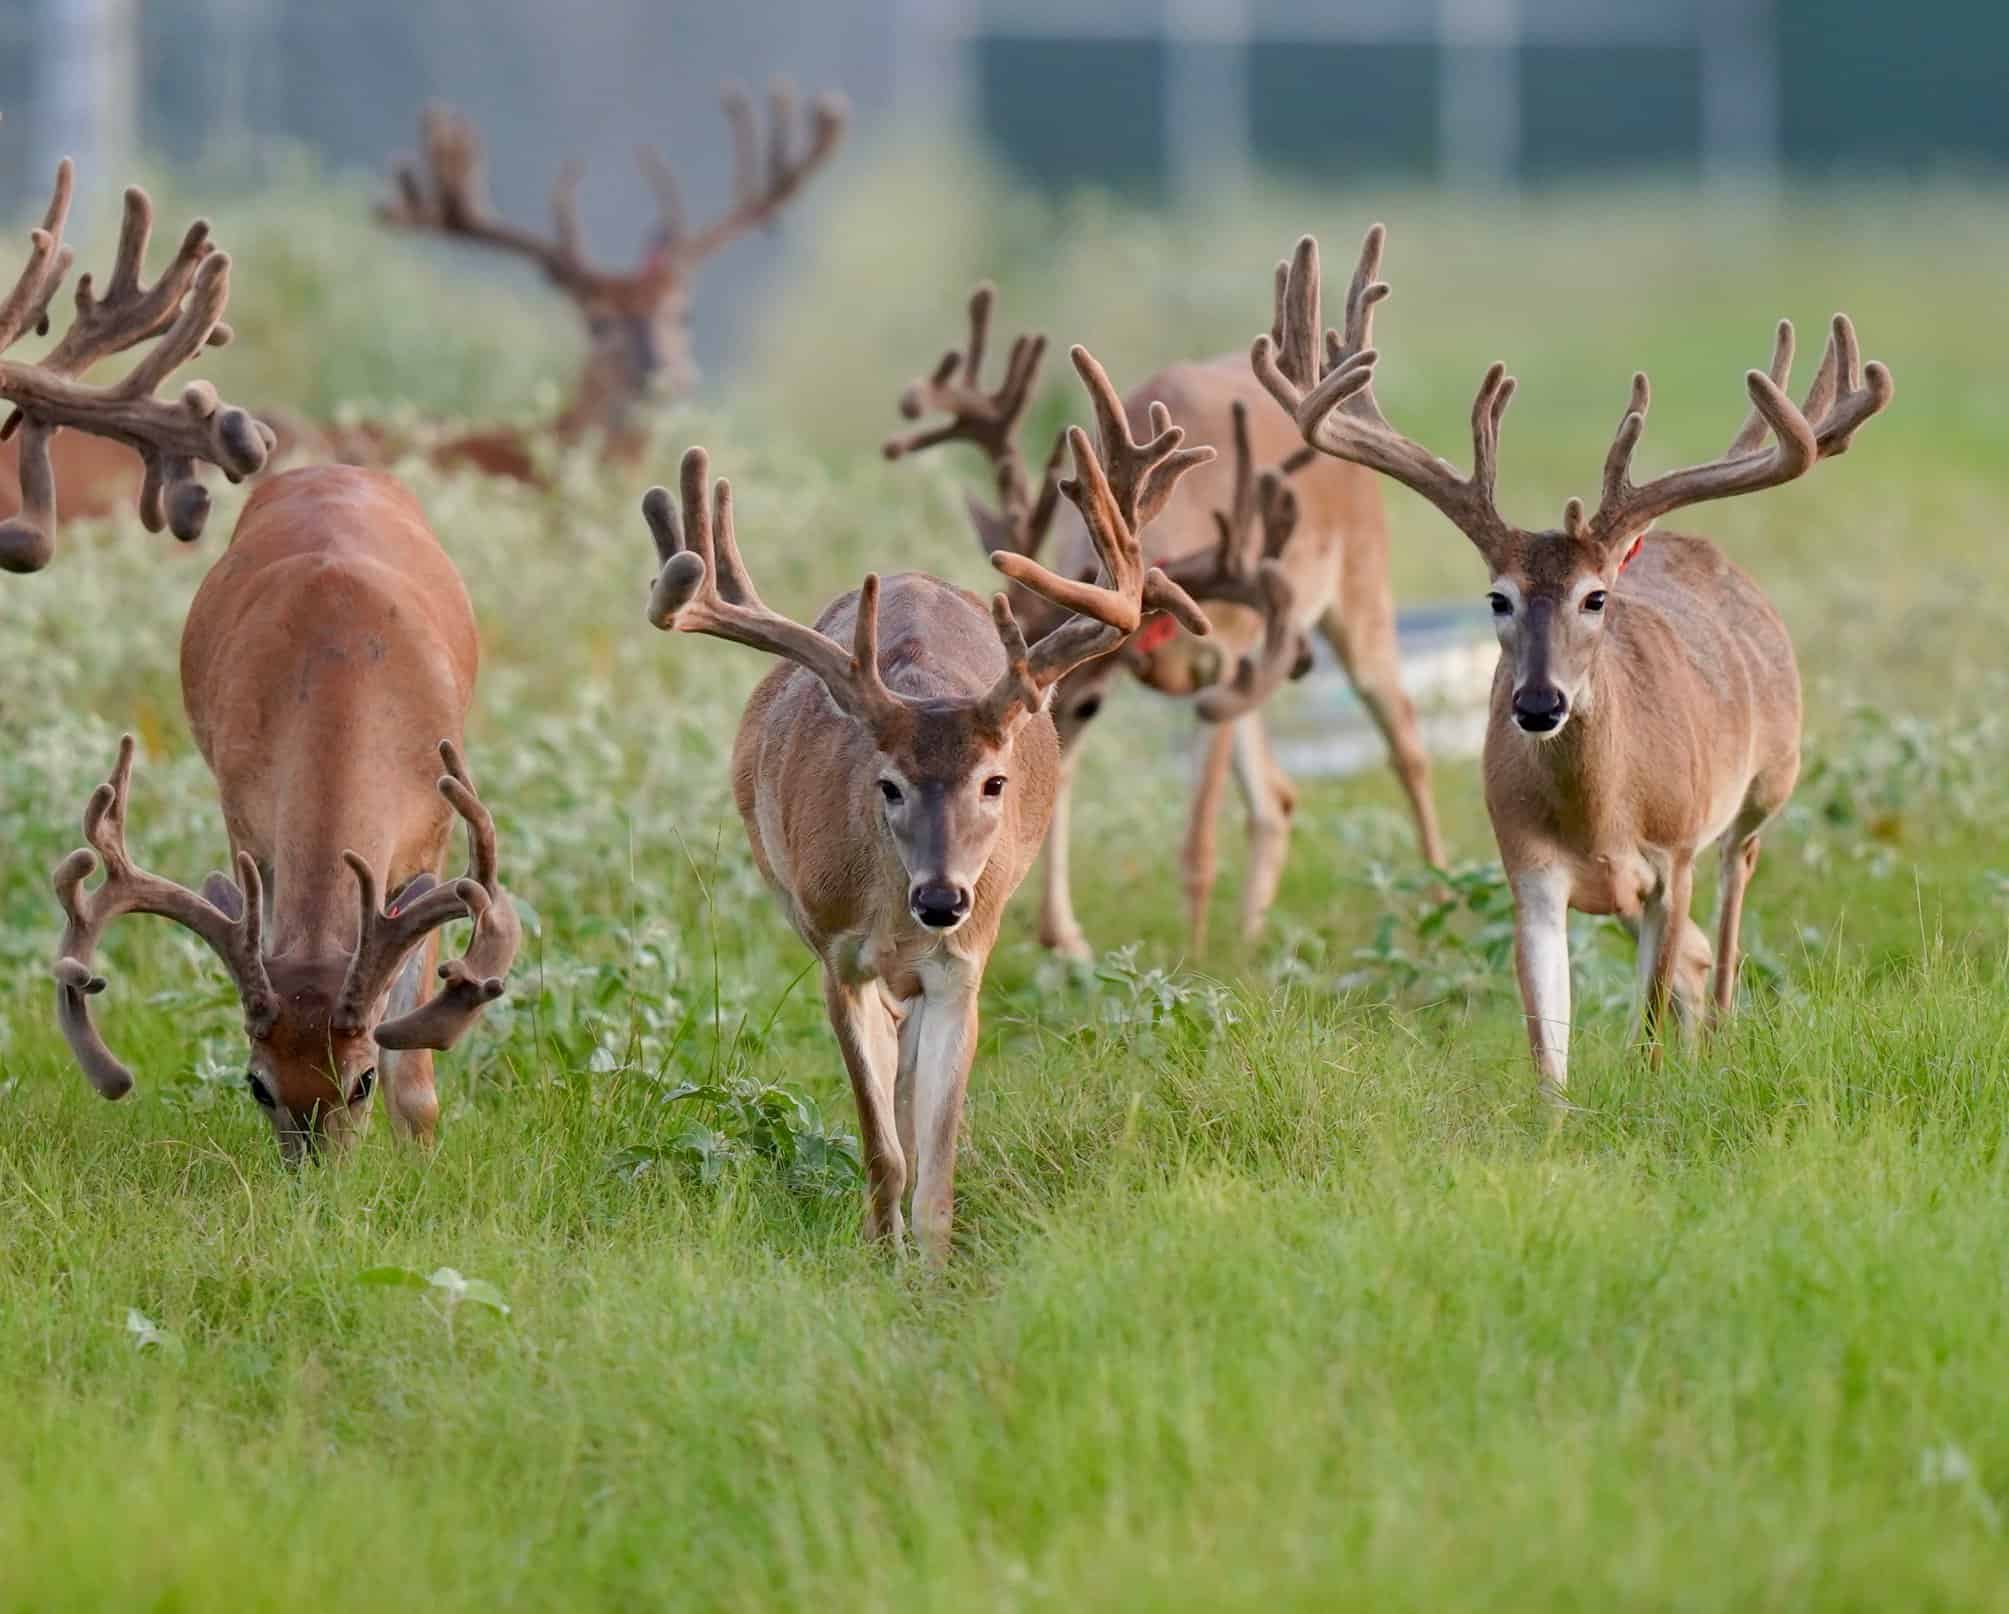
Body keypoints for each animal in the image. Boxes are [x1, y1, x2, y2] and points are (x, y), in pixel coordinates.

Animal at [50, 463, 522, 1160]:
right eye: (258, 1085)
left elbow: (416, 1077)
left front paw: (421, 1158)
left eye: (362, 1081)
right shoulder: (245, 824)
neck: (339, 670)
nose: (317, 1173)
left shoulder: (433, 840)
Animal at [640, 345, 1221, 1262]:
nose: (942, 897)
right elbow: (882, 1146)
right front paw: (881, 1256)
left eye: (995, 781)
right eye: (887, 784)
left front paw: (932, 1266)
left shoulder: (963, 967)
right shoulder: (836, 953)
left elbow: (936, 1156)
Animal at [885, 284, 1446, 959]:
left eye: (1090, 704)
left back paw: (1440, 897)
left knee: (1405, 740)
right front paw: (1065, 939)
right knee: (1277, 796)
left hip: (1361, 591)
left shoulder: (1225, 658)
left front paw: (1194, 957)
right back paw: (1251, 937)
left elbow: (1198, 840)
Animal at [1251, 225, 1892, 1092]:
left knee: (1730, 909)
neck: (1601, 819)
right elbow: (1545, 1045)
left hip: (1765, 784)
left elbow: (1648, 1022)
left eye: (1595, 599)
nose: (1536, 704)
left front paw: (1652, 1090)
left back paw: (1723, 1034)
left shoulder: (1672, 853)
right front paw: (1559, 1113)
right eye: (1496, 598)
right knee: (1697, 958)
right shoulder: (1526, 867)